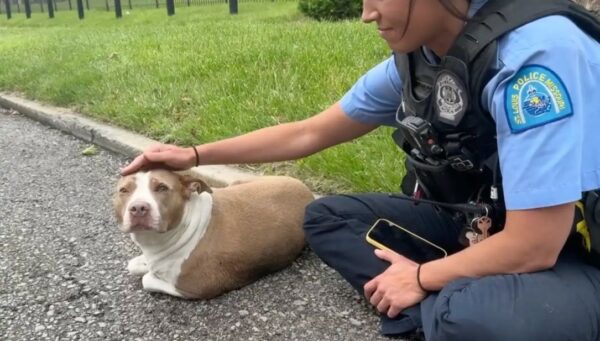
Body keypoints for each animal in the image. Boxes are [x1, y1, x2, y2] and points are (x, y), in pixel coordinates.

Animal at [114, 169, 316, 298]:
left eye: (162, 187)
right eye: (123, 190)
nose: (138, 208)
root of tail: (306, 190)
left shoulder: (195, 287)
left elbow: (147, 279)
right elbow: (136, 265)